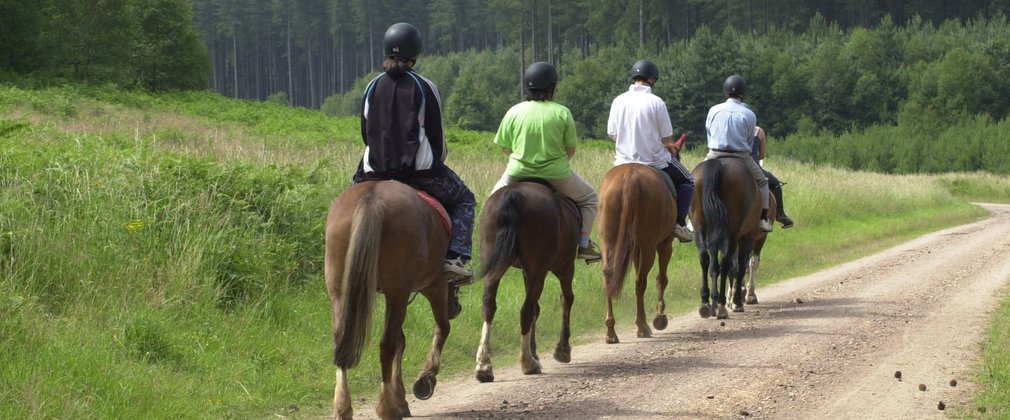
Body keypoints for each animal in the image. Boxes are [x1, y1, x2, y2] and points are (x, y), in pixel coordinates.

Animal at [325, 179, 452, 420]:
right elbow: (442, 327)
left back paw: (343, 406)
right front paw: (425, 379)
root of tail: (372, 198)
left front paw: (402, 396)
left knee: (340, 341)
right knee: (387, 344)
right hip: (399, 290)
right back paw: (387, 407)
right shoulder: (435, 285)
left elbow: (403, 339)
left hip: (340, 289)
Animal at [474, 181, 581, 381]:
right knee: (526, 310)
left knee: (489, 306)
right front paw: (562, 350)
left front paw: (535, 352)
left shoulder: (526, 272)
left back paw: (484, 367)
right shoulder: (565, 266)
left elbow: (538, 310)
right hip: (539, 270)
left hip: (495, 264)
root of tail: (514, 193)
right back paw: (527, 363)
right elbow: (566, 299)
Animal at [593, 162, 674, 343]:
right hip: (649, 245)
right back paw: (643, 326)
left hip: (608, 239)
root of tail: (630, 177)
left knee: (608, 276)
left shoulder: (637, 248)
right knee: (640, 281)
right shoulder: (665, 244)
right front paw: (660, 316)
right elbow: (662, 279)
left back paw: (611, 332)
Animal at [690, 157, 759, 319]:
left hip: (699, 226)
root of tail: (717, 164)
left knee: (705, 258)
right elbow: (740, 267)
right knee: (727, 262)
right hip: (733, 233)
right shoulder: (748, 236)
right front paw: (737, 301)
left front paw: (713, 303)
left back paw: (706, 303)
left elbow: (714, 267)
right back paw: (722, 306)